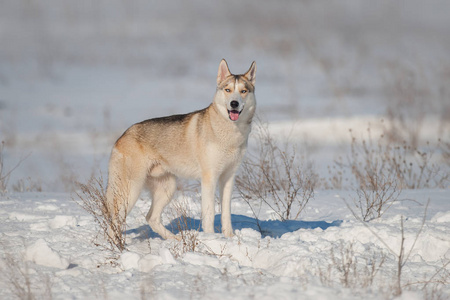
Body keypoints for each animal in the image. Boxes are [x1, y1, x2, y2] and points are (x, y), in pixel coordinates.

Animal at [105, 59, 256, 240]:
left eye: (243, 91)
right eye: (228, 90)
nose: (234, 103)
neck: (230, 133)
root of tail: (121, 136)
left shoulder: (228, 178)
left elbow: (226, 213)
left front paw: (230, 237)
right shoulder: (209, 178)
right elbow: (210, 214)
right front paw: (211, 237)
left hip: (167, 188)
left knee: (151, 218)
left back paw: (174, 240)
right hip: (131, 190)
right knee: (114, 221)